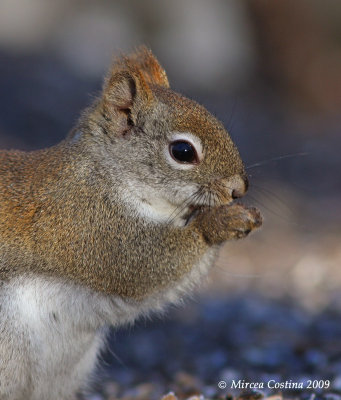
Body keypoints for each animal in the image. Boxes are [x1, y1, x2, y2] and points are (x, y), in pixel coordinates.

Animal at [0, 47, 260, 400]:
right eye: (183, 151)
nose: (239, 188)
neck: (107, 175)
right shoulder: (90, 228)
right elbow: (147, 266)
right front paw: (221, 221)